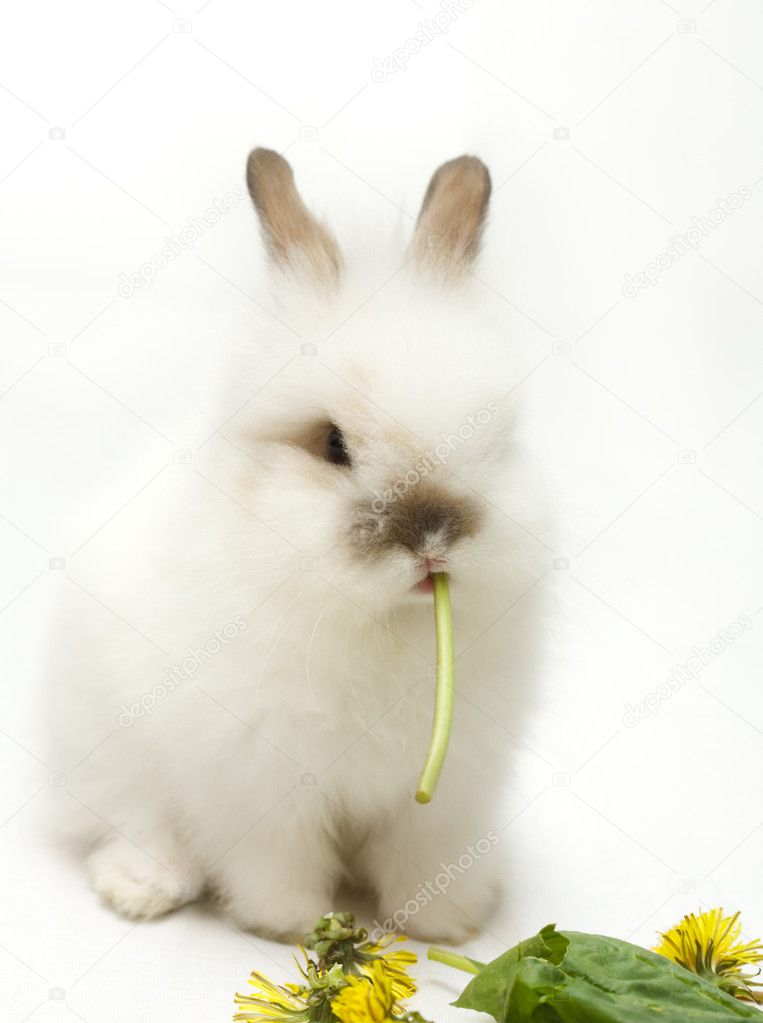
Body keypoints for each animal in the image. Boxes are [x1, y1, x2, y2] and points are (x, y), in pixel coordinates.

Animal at [45, 147, 545, 944]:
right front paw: (292, 925)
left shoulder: (448, 793)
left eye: (497, 439)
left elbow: (427, 856)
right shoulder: (259, 783)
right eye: (332, 444)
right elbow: (274, 862)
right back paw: (142, 886)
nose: (433, 538)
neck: (381, 626)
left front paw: (447, 923)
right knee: (132, 822)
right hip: (105, 749)